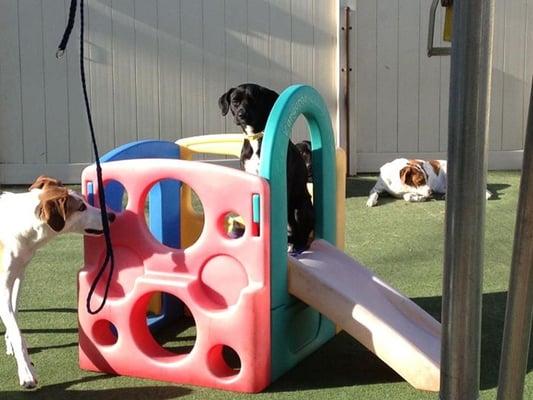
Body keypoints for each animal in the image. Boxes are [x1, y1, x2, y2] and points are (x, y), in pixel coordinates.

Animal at [0, 176, 114, 388]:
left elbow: (15, 316)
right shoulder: (3, 285)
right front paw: (26, 372)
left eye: (84, 201)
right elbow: (16, 329)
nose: (111, 216)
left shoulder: (19, 274)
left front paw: (13, 344)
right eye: (81, 207)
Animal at [218, 83, 314, 253]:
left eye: (253, 100)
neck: (255, 137)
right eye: (235, 101)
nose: (241, 114)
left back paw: (295, 244)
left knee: (300, 233)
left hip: (300, 207)